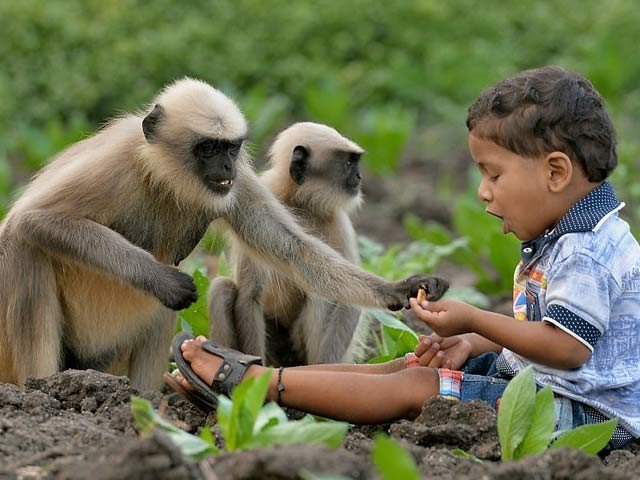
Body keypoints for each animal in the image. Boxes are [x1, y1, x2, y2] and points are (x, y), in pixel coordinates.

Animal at [210, 122, 371, 364]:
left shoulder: (339, 222)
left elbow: (348, 298)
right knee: (222, 288)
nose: (359, 177)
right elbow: (250, 293)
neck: (299, 201)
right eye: (350, 163)